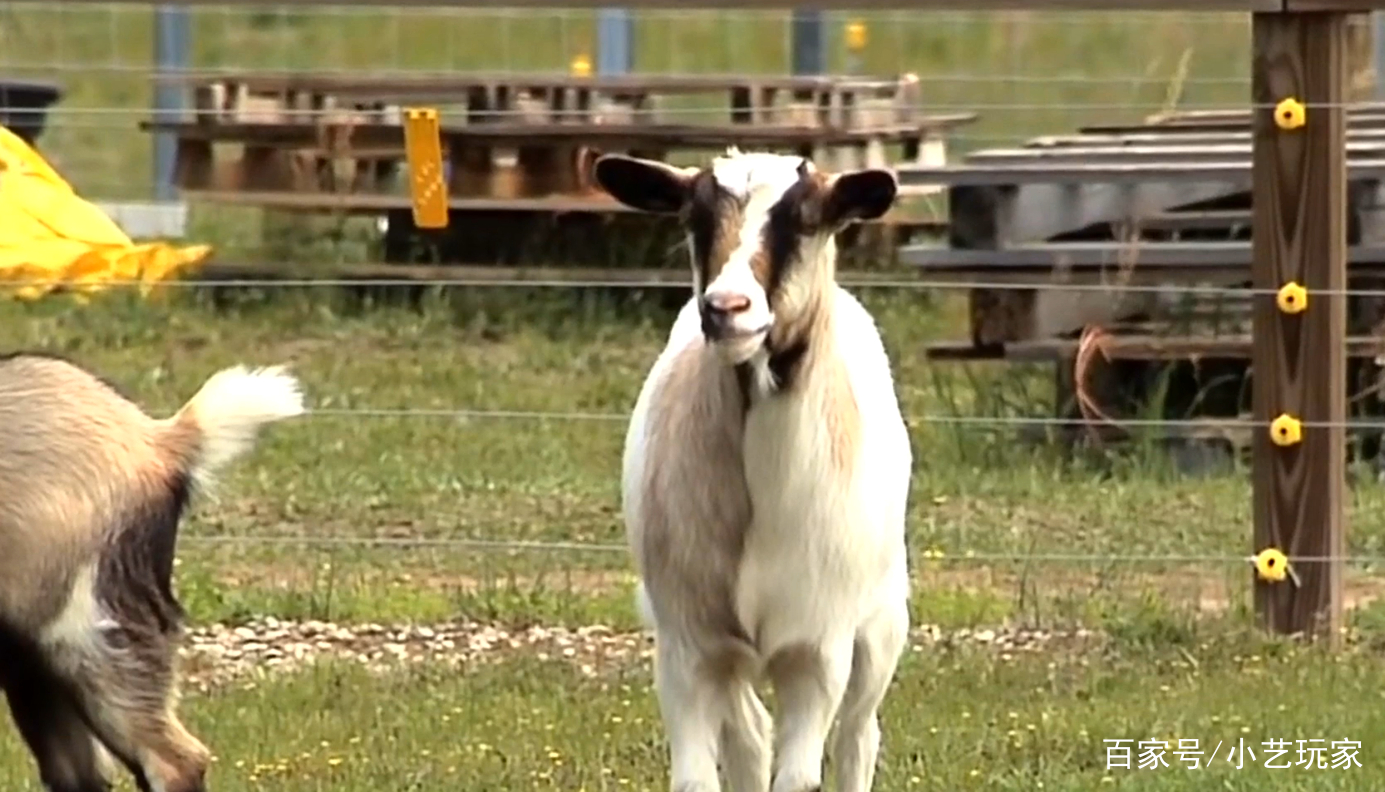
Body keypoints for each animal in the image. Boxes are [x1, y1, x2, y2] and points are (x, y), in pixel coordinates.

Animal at [592, 150, 908, 792]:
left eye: (808, 220)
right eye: (694, 219)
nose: (726, 308)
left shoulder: (818, 652)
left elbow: (801, 777)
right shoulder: (689, 647)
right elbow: (698, 777)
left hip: (882, 622)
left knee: (859, 737)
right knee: (751, 737)